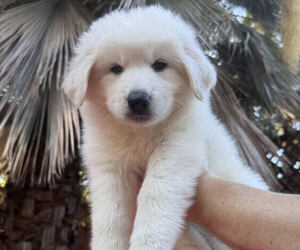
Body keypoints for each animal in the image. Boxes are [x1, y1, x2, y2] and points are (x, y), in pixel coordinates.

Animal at [62, 5, 268, 250]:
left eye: (159, 64)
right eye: (115, 68)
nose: (138, 99)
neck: (139, 133)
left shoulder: (178, 148)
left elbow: (155, 192)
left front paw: (148, 242)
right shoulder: (109, 166)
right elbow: (110, 215)